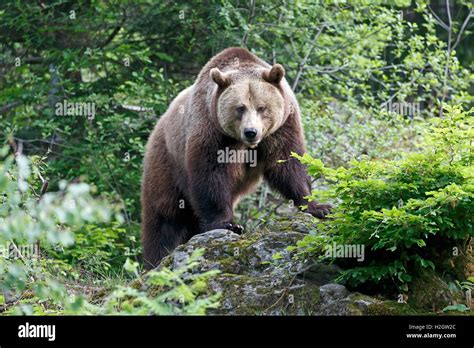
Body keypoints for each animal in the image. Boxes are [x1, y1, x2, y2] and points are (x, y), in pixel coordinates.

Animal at [142, 47, 330, 268]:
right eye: (240, 108)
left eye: (262, 107)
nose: (251, 132)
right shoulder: (211, 129)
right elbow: (212, 174)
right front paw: (229, 224)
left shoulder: (282, 127)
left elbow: (289, 164)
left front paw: (318, 207)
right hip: (166, 162)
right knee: (165, 218)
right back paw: (156, 259)